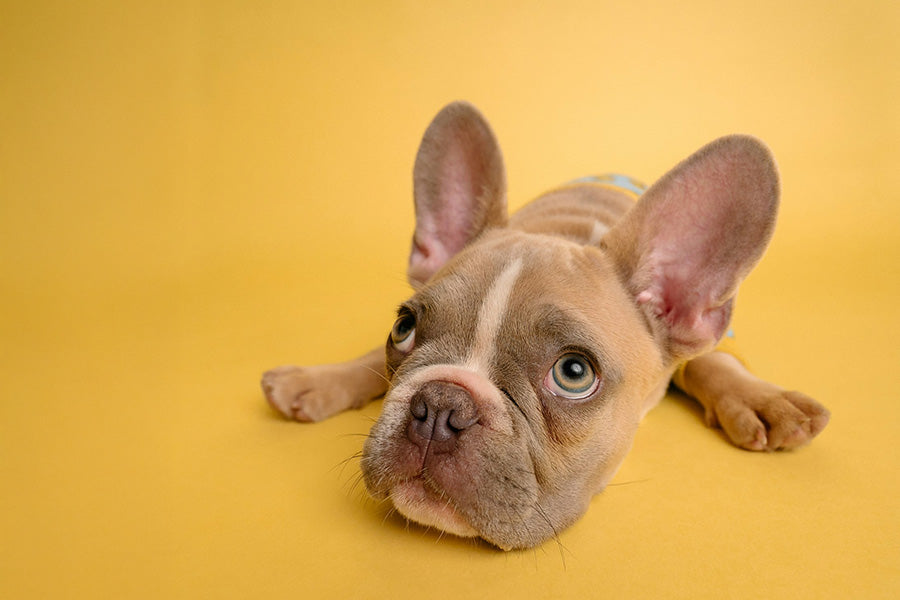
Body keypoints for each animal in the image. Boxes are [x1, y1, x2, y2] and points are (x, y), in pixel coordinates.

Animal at [260, 102, 828, 548]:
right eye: (403, 328)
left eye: (574, 373)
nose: (439, 404)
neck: (568, 230)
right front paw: (317, 380)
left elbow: (711, 362)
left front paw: (759, 399)